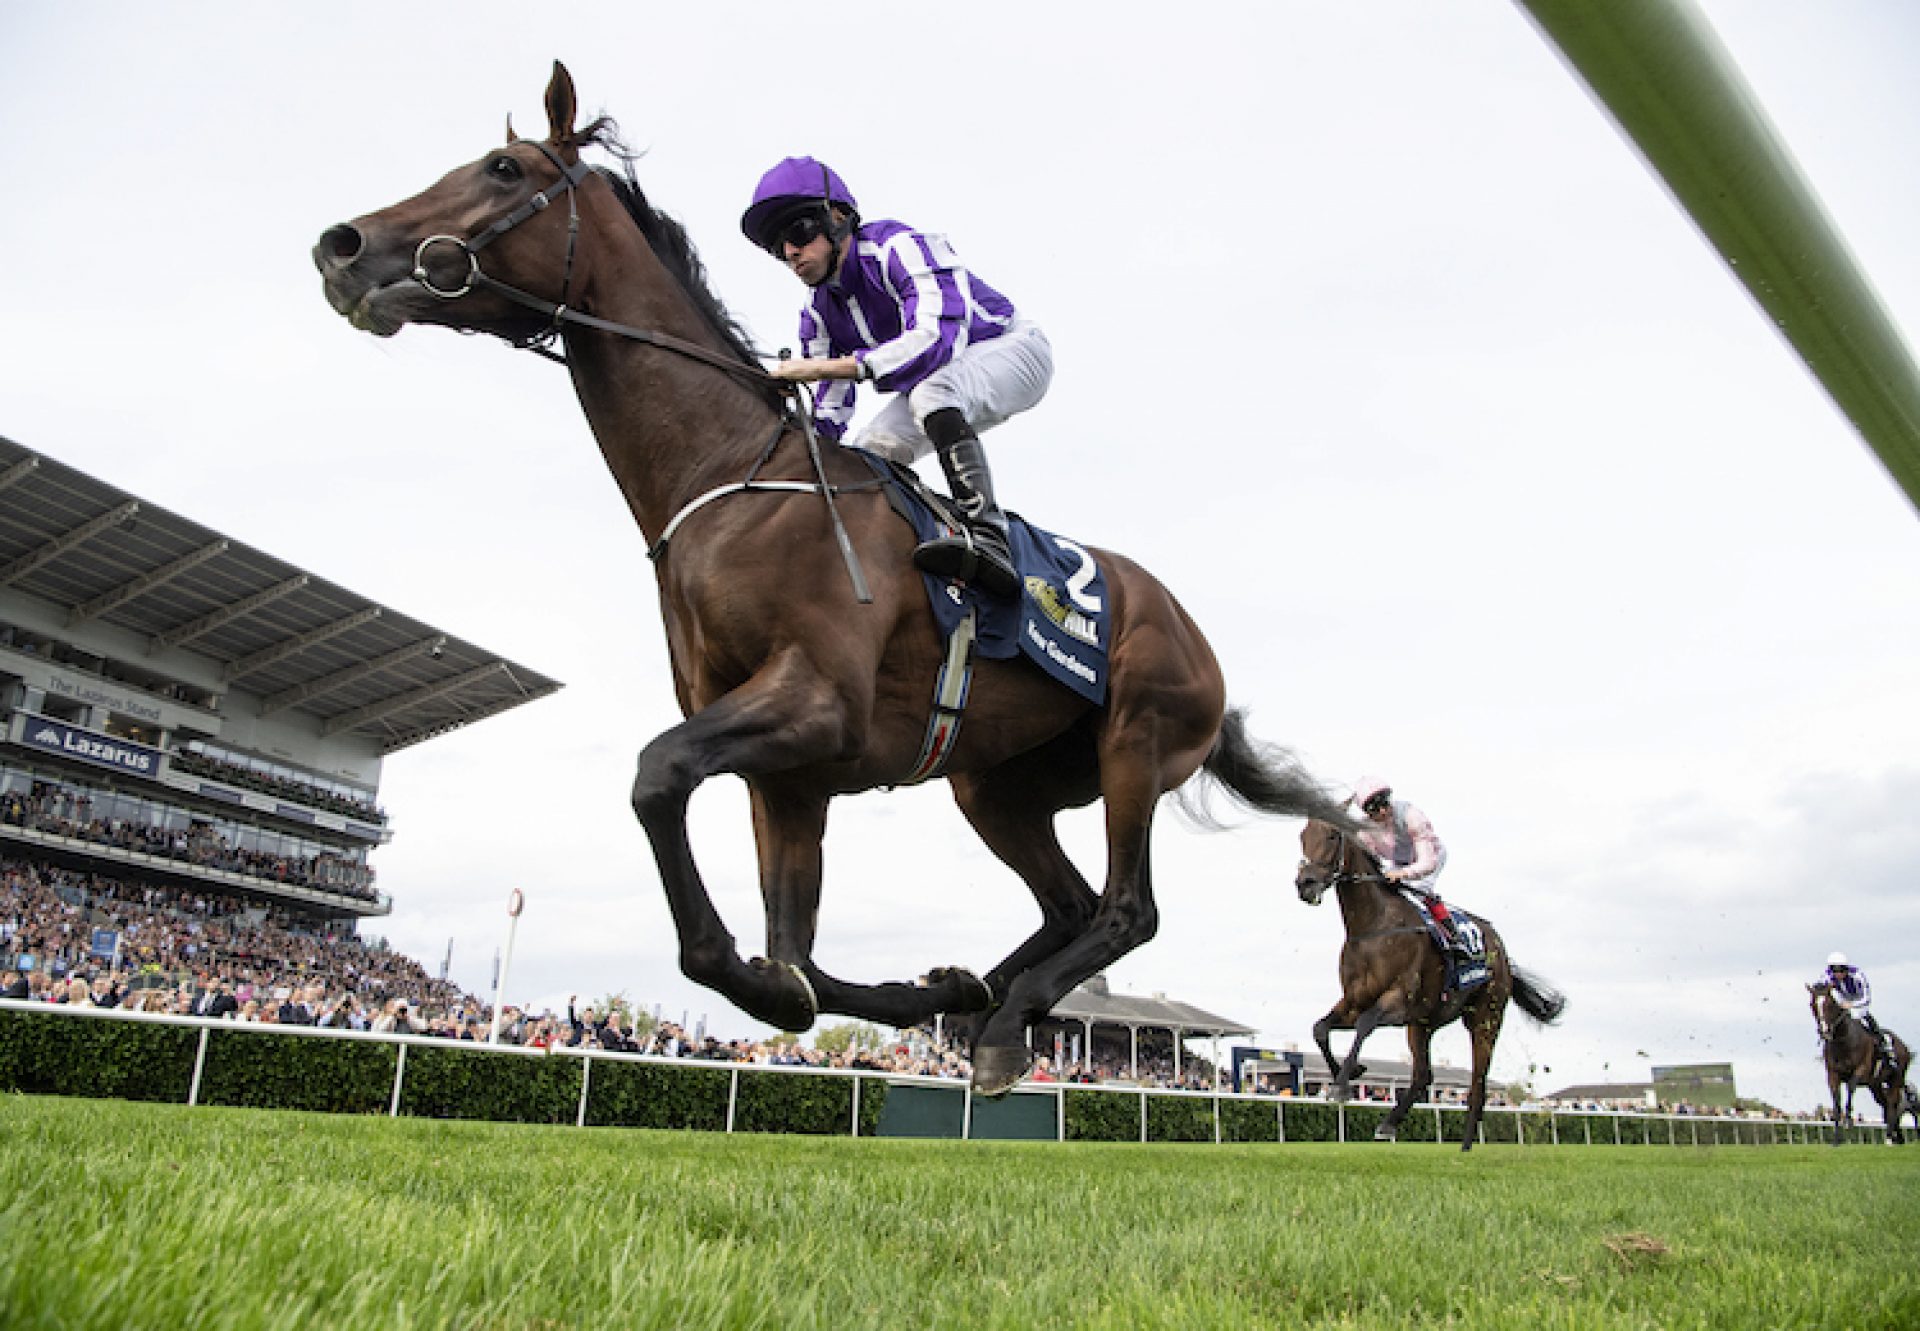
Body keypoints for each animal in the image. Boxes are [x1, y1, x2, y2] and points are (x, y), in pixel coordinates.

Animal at [311, 64, 1351, 1090]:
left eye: (503, 168)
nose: (340, 245)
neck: (728, 481)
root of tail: (1194, 633)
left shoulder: (818, 704)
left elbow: (659, 781)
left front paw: (786, 980)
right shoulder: (789, 772)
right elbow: (796, 960)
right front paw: (906, 989)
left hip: (1136, 737)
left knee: (1128, 907)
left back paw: (1007, 1013)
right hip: (995, 786)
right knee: (1071, 905)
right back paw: (980, 997)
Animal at [1297, 814, 1566, 1144]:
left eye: (1333, 836)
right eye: (1303, 836)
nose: (1305, 883)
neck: (1375, 926)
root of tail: (1502, 954)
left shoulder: (1399, 1002)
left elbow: (1365, 1024)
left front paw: (1341, 1084)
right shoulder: (1354, 1001)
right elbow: (1320, 1029)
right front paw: (1351, 1073)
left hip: (1484, 1019)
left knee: (1478, 1085)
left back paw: (1467, 1144)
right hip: (1424, 1024)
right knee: (1423, 1075)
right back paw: (1389, 1123)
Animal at [1812, 975, 1904, 1144]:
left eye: (1829, 1005)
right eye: (1813, 1005)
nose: (1824, 1031)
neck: (1843, 1041)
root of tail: (1904, 1046)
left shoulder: (1860, 1070)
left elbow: (1850, 1087)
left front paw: (1848, 1121)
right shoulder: (1832, 1074)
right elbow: (1836, 1103)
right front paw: (1836, 1138)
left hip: (1896, 1079)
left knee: (1893, 1104)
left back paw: (1890, 1137)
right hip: (1875, 1085)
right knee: (1885, 1104)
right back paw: (1896, 1136)